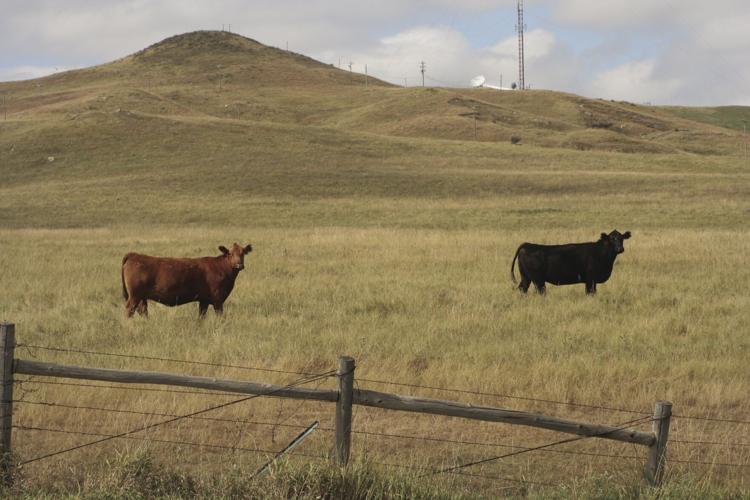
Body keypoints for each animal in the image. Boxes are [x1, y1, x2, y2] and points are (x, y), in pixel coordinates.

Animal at [121, 243, 253, 318]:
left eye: (243, 253)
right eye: (230, 253)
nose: (239, 265)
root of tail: (134, 255)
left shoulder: (204, 300)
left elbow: (201, 317)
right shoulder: (218, 300)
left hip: (142, 298)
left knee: (142, 311)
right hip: (134, 296)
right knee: (130, 310)